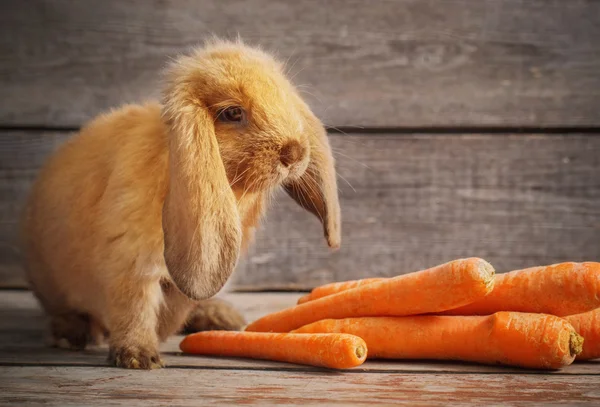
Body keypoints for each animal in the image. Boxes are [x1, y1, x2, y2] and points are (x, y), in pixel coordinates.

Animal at [21, 40, 340, 370]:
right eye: (233, 113)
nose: (296, 152)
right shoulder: (129, 261)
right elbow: (134, 307)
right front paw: (139, 357)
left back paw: (221, 317)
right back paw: (73, 334)